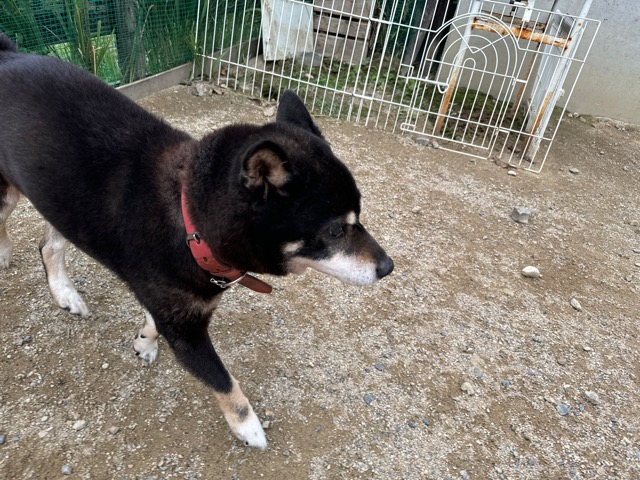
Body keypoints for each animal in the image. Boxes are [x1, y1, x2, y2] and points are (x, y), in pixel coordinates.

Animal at [0, 32, 393, 449]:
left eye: (359, 214)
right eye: (334, 231)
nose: (388, 267)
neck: (191, 223)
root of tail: (10, 54)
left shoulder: (173, 307)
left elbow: (153, 321)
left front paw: (144, 340)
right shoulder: (187, 333)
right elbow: (223, 380)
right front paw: (248, 427)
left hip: (62, 201)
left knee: (48, 246)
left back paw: (64, 294)